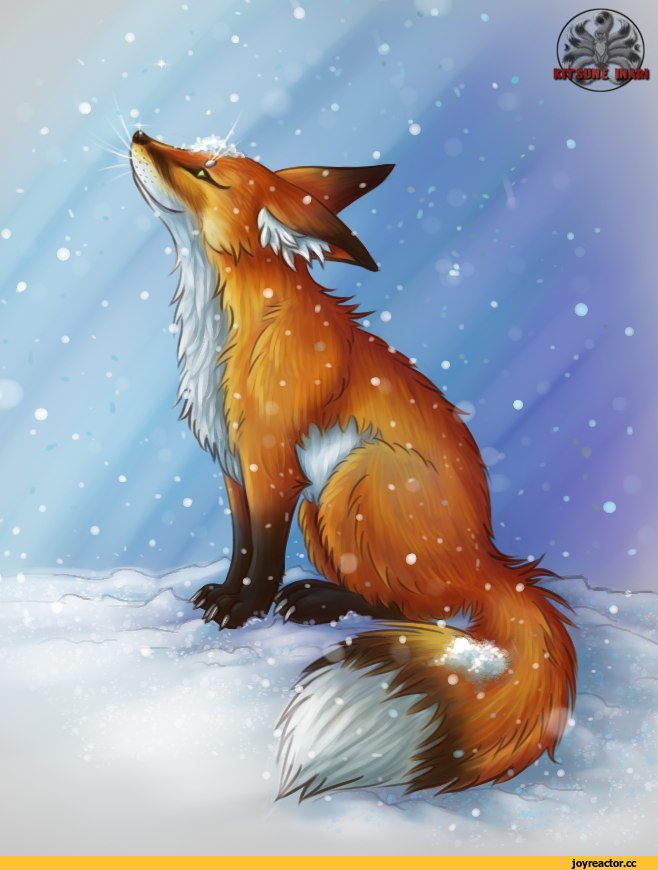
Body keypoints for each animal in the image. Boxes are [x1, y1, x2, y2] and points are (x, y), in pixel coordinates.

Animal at [130, 129, 577, 801]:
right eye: (193, 153)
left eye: (207, 173)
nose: (137, 135)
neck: (228, 329)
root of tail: (489, 557)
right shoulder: (234, 470)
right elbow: (240, 546)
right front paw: (223, 597)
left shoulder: (270, 468)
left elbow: (263, 559)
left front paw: (245, 610)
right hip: (322, 509)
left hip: (353, 483)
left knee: (423, 608)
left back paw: (318, 602)